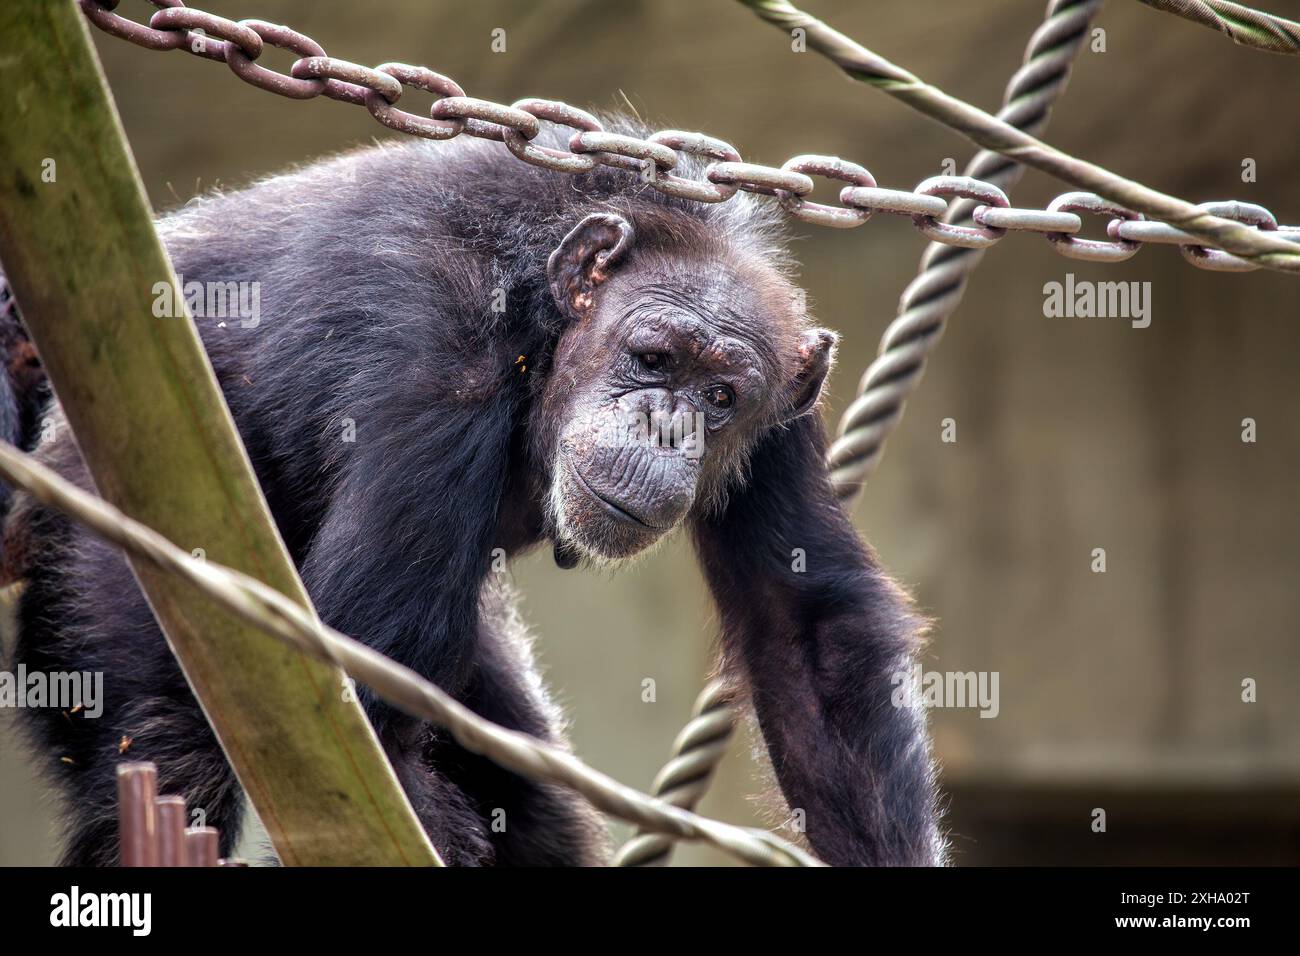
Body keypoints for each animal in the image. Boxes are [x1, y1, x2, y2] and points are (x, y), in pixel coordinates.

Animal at [5, 113, 951, 868]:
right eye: (652, 356)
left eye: (721, 397)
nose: (667, 427)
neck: (541, 315)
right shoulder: (435, 356)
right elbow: (364, 699)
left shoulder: (786, 416)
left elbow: (806, 635)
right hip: (116, 534)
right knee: (172, 748)